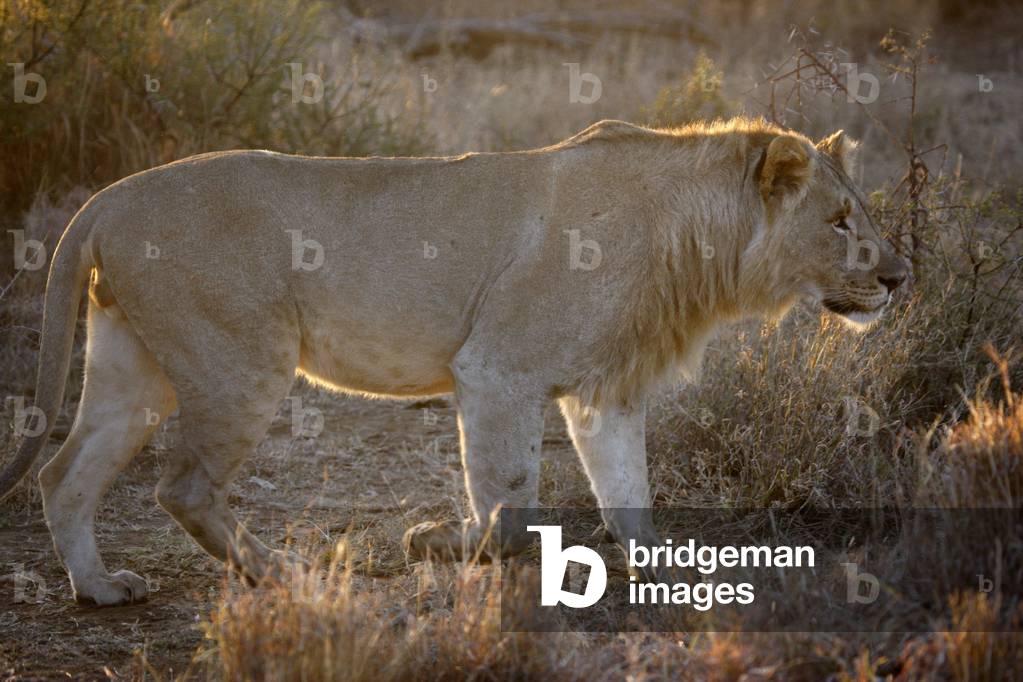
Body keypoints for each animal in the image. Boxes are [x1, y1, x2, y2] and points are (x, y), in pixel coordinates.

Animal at [0, 118, 906, 605]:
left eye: (860, 211)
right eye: (837, 220)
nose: (899, 277)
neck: (695, 238)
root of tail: (108, 196)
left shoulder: (605, 392)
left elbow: (629, 495)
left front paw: (667, 571)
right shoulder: (496, 369)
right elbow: (509, 506)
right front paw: (438, 543)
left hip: (133, 368)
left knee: (65, 474)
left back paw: (100, 589)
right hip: (241, 362)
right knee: (182, 486)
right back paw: (285, 573)